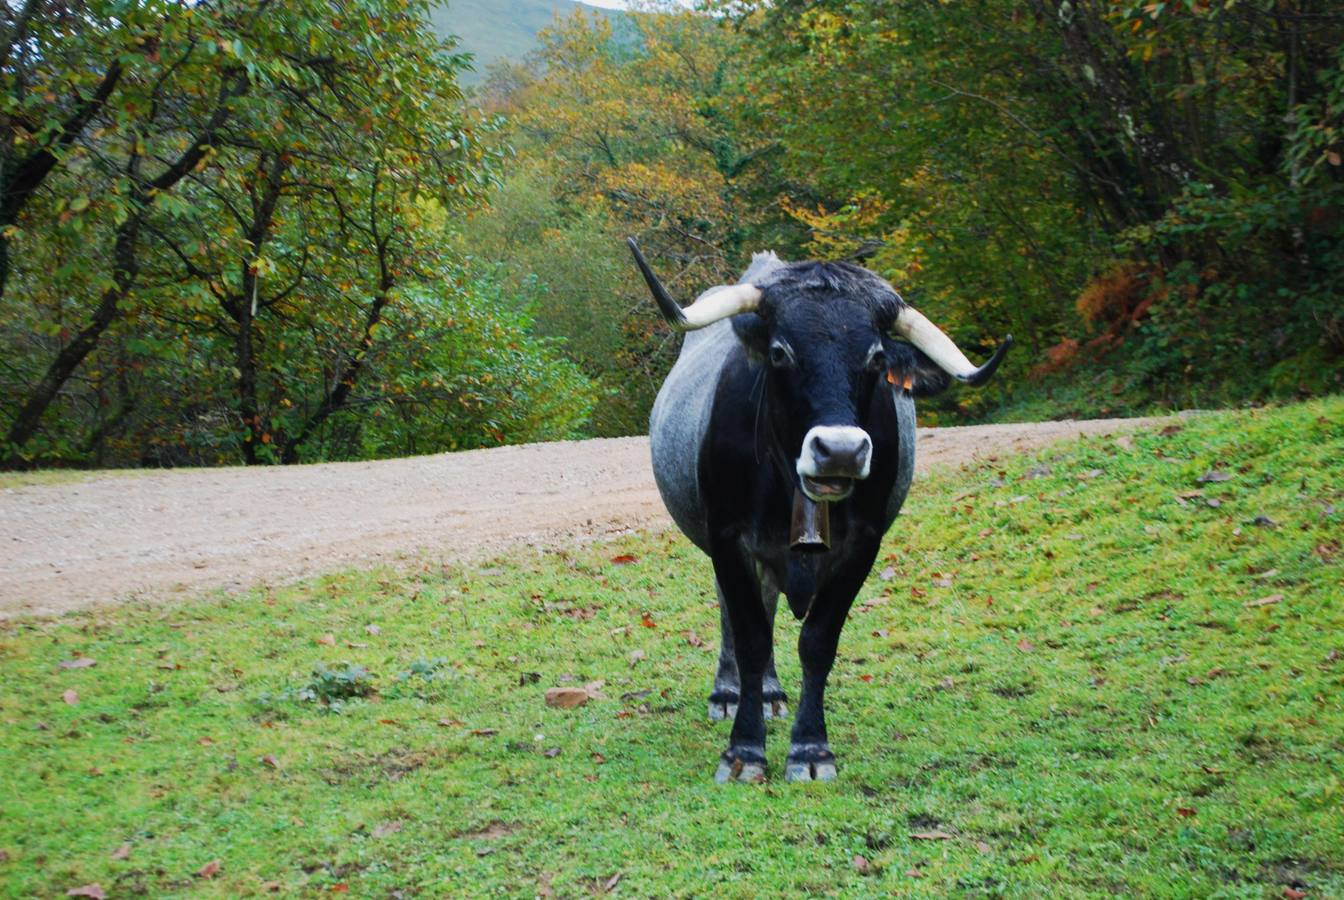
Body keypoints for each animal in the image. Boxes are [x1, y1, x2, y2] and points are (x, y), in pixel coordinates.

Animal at [626, 239, 1010, 784]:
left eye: (876, 357)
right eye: (780, 352)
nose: (841, 451)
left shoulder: (864, 545)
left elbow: (817, 642)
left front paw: (811, 748)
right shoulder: (728, 536)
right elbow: (750, 637)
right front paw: (744, 750)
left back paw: (769, 692)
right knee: (735, 615)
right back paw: (730, 692)